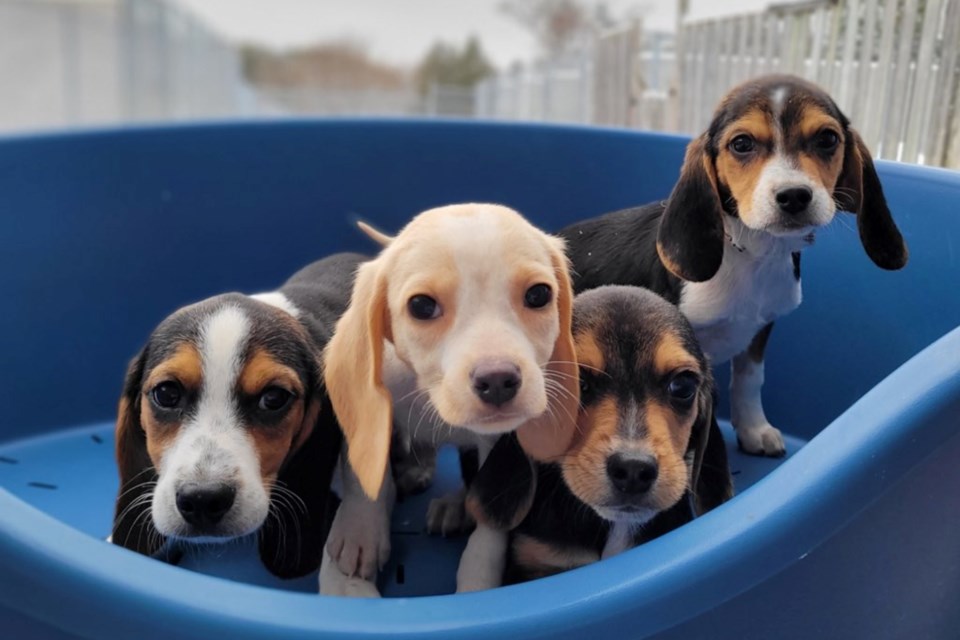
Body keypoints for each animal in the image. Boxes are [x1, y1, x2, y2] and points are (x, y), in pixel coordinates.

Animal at [320, 204, 576, 596]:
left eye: (538, 295)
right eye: (421, 306)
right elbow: (367, 476)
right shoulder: (370, 411)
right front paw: (359, 529)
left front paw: (478, 579)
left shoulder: (495, 448)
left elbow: (490, 528)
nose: (498, 380)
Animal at [556, 74, 908, 456]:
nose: (794, 196)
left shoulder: (760, 329)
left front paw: (754, 429)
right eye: (741, 144)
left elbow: (750, 379)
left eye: (827, 139)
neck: (754, 253)